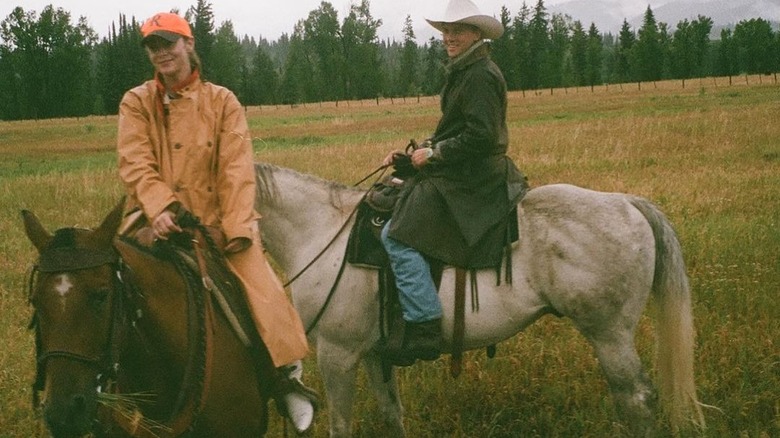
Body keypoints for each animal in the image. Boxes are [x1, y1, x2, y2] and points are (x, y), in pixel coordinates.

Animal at [253, 162, 704, 438]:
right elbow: (392, 414)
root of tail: (624, 201)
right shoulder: (373, 354)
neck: (321, 230)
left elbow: (341, 426)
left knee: (637, 399)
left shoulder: (338, 354)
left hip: (610, 336)